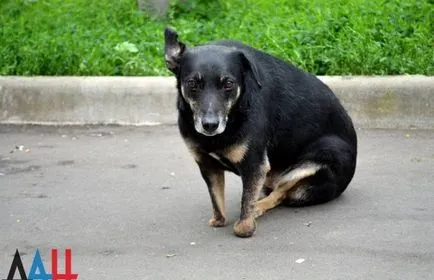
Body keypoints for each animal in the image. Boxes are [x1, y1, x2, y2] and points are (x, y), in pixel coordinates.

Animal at [163, 27, 356, 238]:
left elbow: (246, 201)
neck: (234, 115)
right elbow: (216, 198)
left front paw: (245, 227)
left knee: (280, 194)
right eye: (192, 84)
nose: (210, 125)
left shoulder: (255, 165)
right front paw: (219, 220)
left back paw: (258, 207)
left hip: (323, 155)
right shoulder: (207, 164)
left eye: (228, 84)